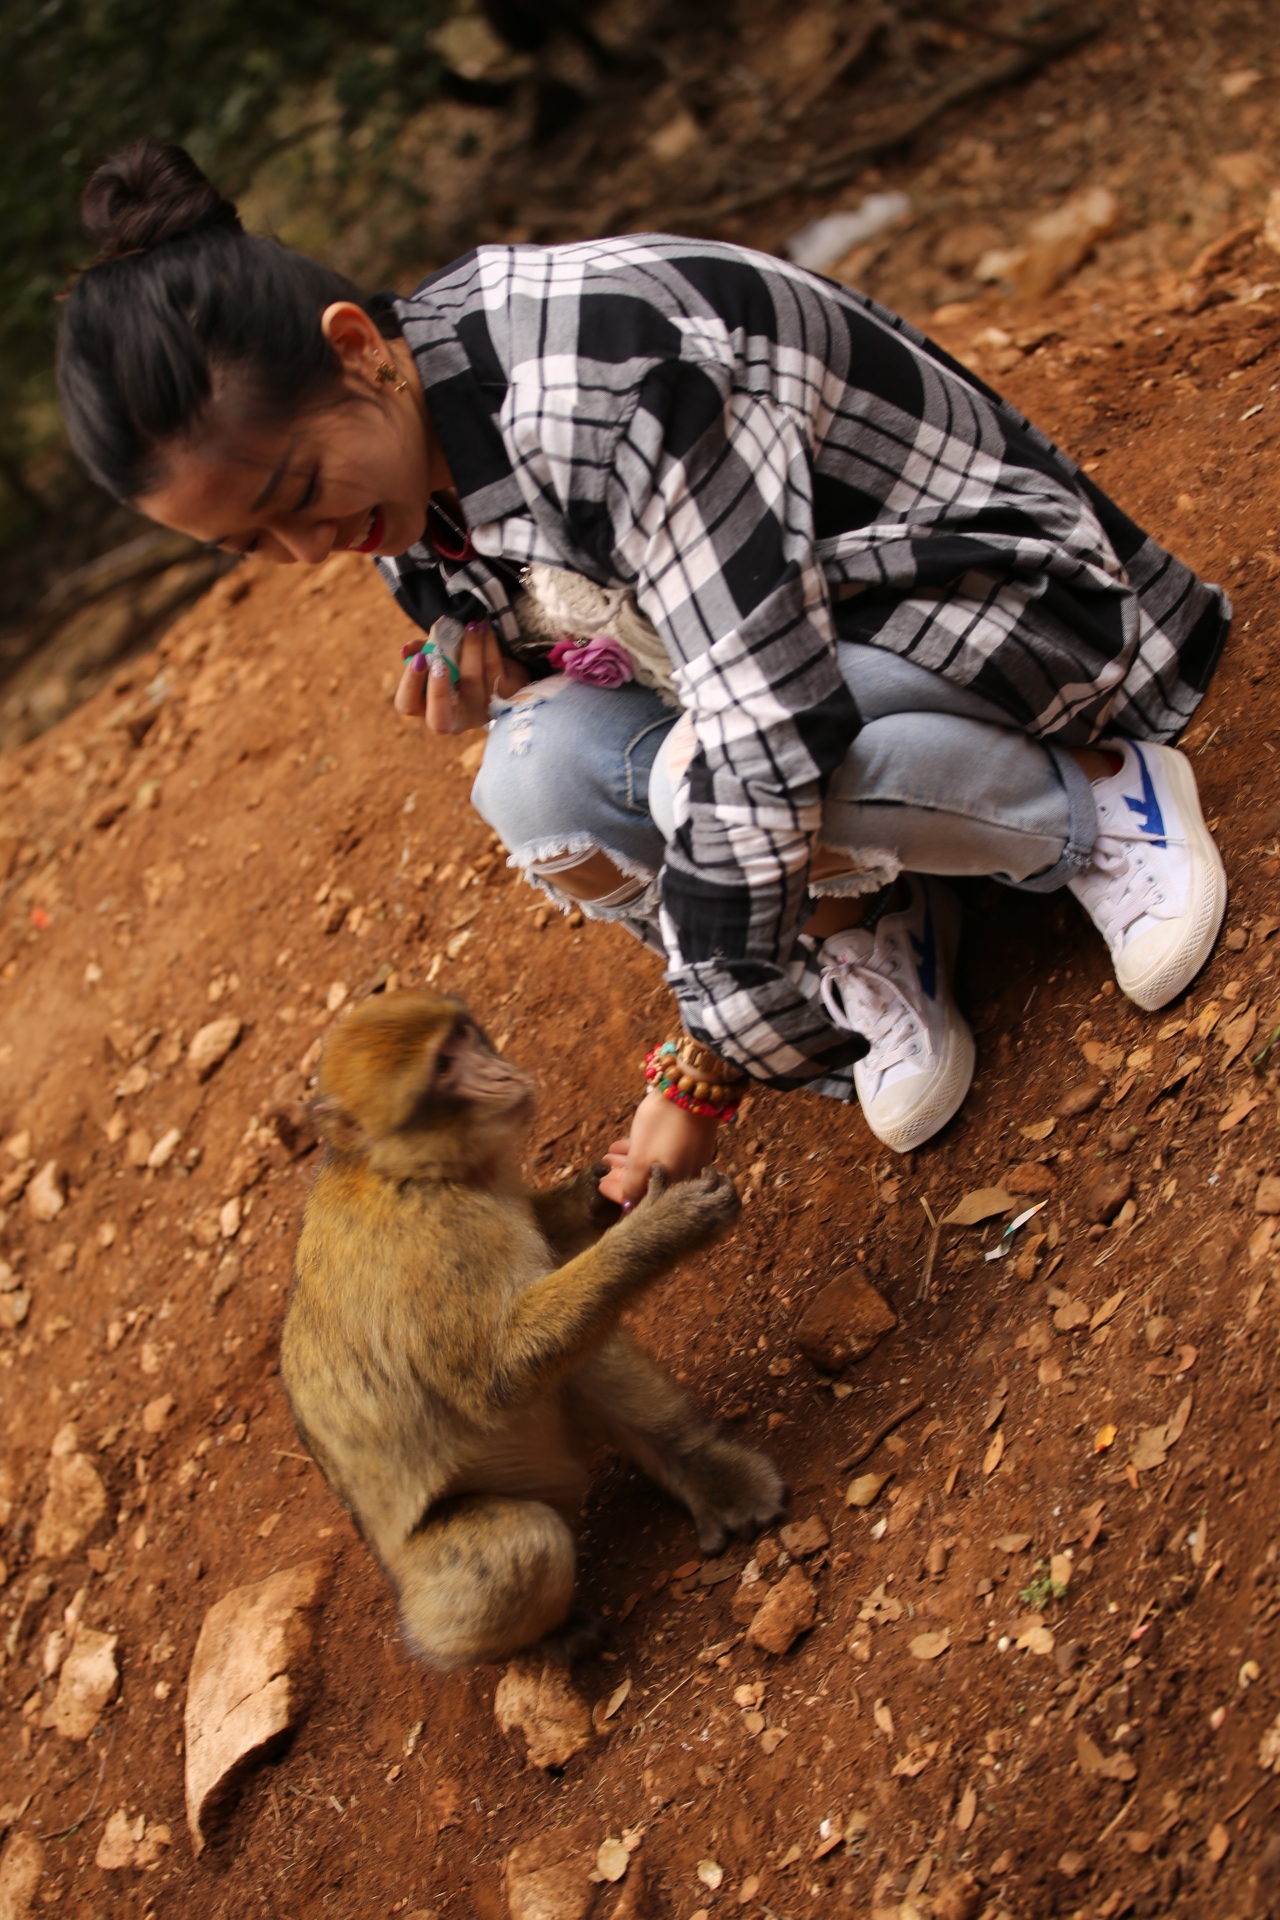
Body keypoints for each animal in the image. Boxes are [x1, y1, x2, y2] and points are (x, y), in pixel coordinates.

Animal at [282, 990, 786, 1666]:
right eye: (443, 1066)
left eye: (463, 1036)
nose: (500, 1075)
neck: (408, 1171)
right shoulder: (431, 1245)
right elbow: (496, 1380)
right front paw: (665, 1227)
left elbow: (547, 1246)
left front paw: (604, 1187)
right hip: (439, 1594)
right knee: (520, 1551)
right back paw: (549, 1638)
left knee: (584, 1362)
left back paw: (701, 1470)